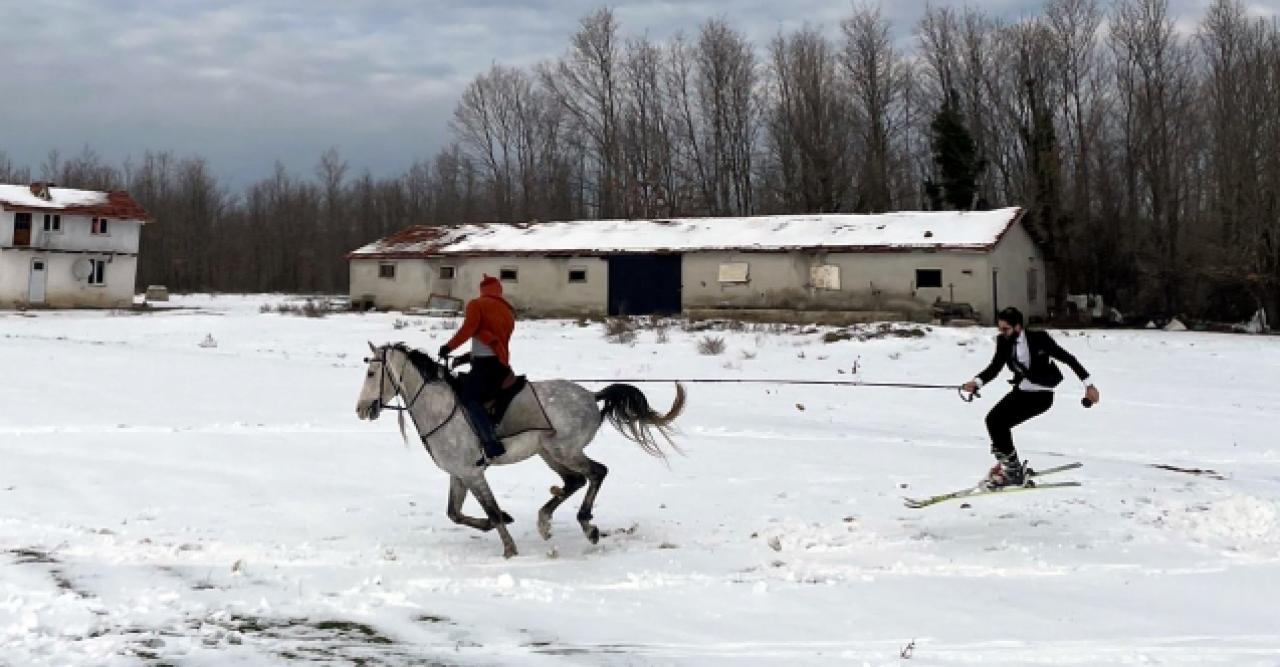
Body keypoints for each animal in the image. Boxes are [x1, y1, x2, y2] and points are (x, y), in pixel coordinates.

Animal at [355, 343, 686, 555]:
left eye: (371, 374)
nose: (361, 409)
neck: (439, 408)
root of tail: (592, 396)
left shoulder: (472, 473)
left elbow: (490, 510)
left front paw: (509, 549)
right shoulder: (459, 474)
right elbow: (455, 513)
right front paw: (498, 523)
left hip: (566, 451)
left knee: (597, 473)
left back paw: (586, 526)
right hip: (549, 454)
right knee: (575, 481)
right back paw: (546, 522)